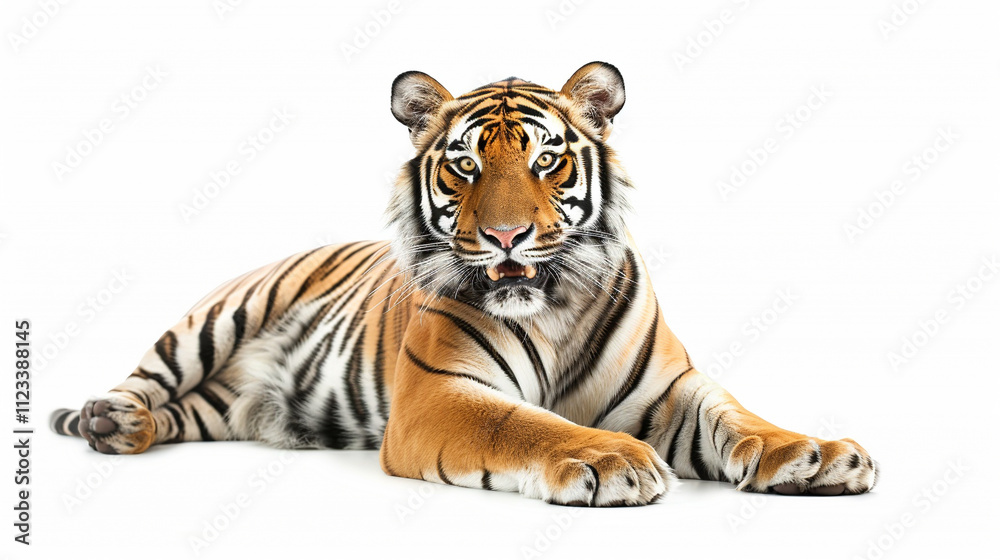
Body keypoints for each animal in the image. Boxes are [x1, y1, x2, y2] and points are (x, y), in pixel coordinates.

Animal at [50, 62, 878, 506]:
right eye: (466, 165)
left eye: (546, 160)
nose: (508, 236)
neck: (554, 306)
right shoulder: (440, 395)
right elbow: (526, 424)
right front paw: (609, 460)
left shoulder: (668, 390)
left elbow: (739, 417)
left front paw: (817, 454)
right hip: (221, 313)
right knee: (148, 377)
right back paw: (107, 420)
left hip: (232, 406)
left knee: (189, 411)